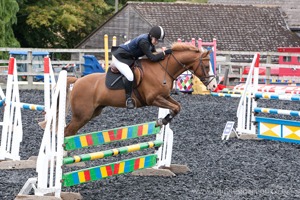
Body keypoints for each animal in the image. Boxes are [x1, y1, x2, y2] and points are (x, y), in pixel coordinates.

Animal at [58, 42, 217, 136]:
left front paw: (163, 120)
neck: (162, 69)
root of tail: (77, 81)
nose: (214, 85)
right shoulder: (153, 99)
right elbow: (175, 107)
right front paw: (162, 121)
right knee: (66, 132)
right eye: (206, 66)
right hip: (82, 115)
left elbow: (177, 107)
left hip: (92, 113)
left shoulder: (164, 96)